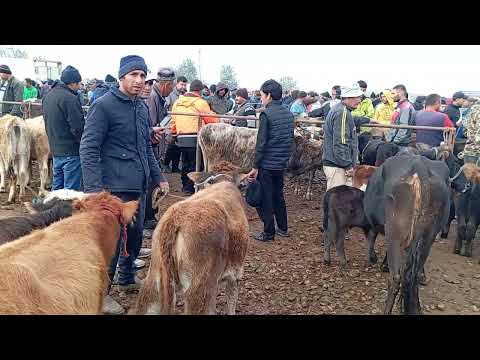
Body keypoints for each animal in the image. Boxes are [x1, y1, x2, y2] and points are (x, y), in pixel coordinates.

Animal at [366, 155, 452, 316]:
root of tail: (419, 167)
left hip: (394, 232)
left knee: (396, 278)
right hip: (428, 235)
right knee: (414, 274)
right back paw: (414, 307)